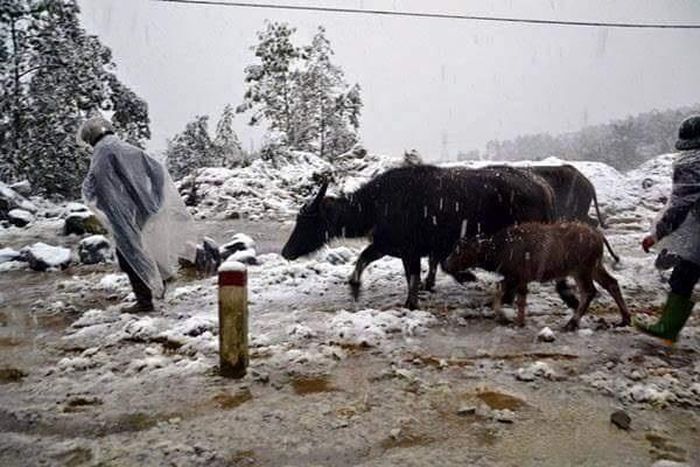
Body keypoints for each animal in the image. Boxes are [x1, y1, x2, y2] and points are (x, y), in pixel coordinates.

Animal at [282, 165, 556, 310]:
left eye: (307, 221)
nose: (286, 252)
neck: (377, 205)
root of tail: (542, 186)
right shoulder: (389, 247)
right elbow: (368, 260)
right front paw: (355, 285)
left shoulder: (410, 250)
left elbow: (416, 274)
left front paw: (411, 302)